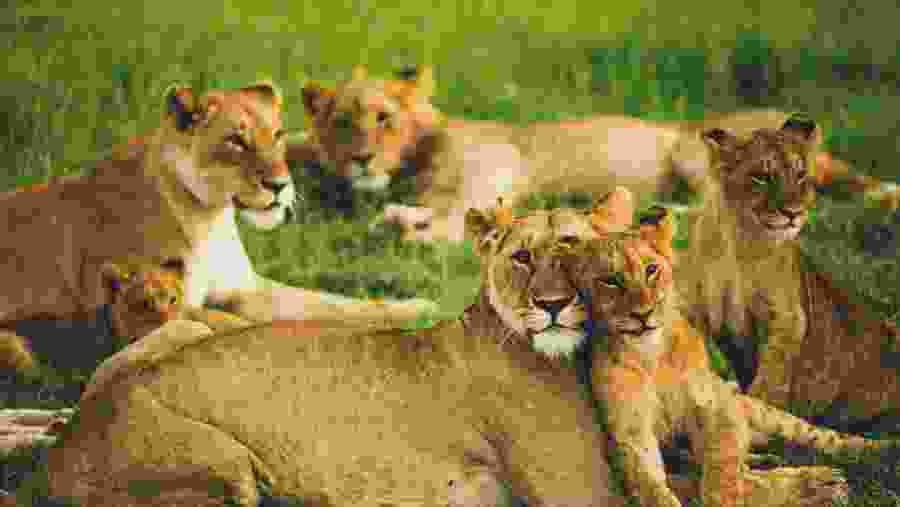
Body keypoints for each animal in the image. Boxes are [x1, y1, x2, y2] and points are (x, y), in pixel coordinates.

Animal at [0, 81, 438, 357]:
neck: (209, 216)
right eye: (235, 140)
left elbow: (336, 304)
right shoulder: (175, 306)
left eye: (277, 135)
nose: (280, 185)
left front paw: (418, 307)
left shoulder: (245, 288)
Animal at [557, 189, 888, 507]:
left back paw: (875, 451)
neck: (651, 355)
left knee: (816, 436)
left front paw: (724, 493)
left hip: (756, 408)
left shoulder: (715, 405)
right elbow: (650, 485)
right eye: (609, 281)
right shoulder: (630, 435)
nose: (643, 314)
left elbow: (722, 466)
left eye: (651, 270)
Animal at [675, 114, 900, 428]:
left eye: (801, 175)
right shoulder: (696, 307)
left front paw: (759, 414)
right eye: (760, 177)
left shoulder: (789, 318)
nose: (793, 213)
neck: (738, 243)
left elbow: (771, 379)